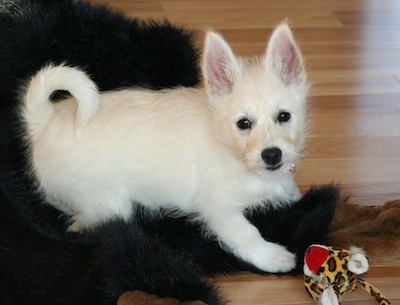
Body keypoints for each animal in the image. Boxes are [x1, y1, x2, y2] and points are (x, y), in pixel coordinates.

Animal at [21, 22, 310, 272]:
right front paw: (272, 257)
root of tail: (45, 120)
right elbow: (246, 233)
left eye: (284, 116)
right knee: (82, 224)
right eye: (244, 124)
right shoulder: (221, 210)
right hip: (110, 203)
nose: (272, 155)